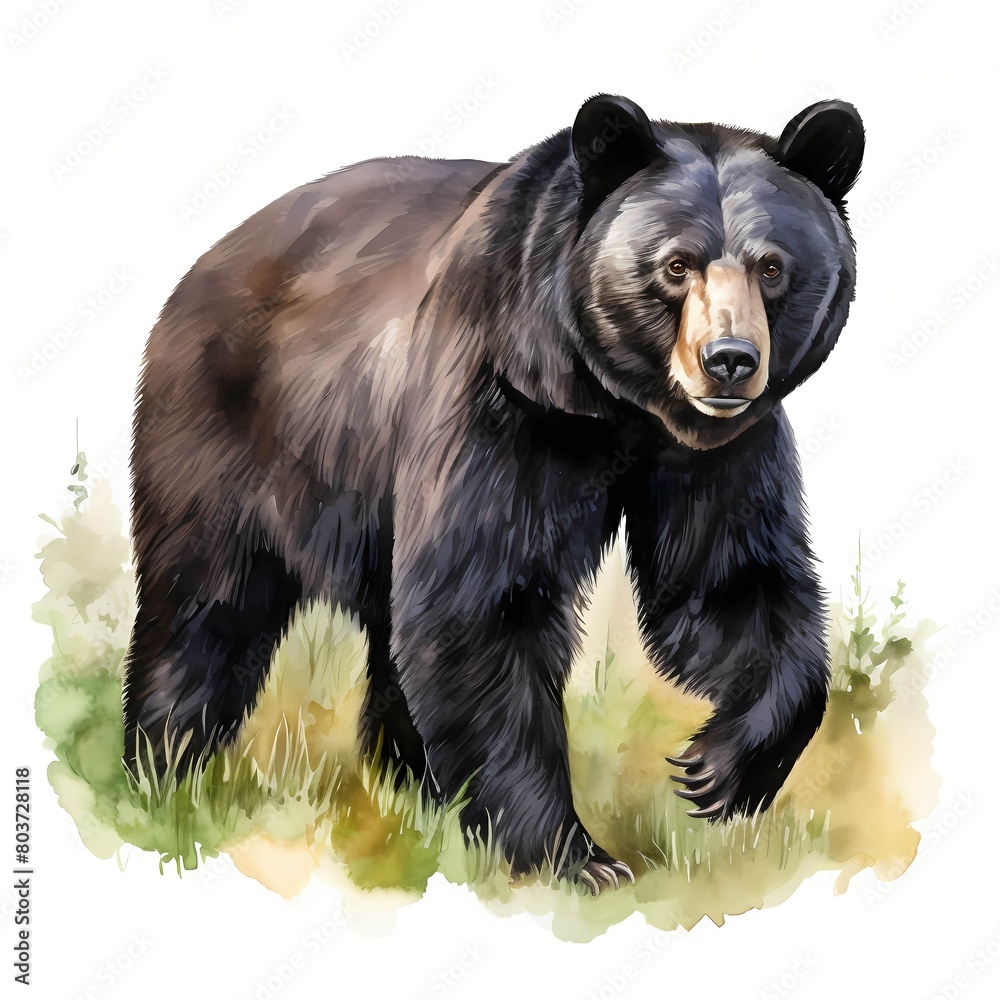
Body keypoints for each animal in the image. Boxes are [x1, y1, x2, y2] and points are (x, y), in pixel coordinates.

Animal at [122, 94, 864, 894]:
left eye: (772, 266)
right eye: (675, 263)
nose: (730, 360)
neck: (614, 404)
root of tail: (207, 261)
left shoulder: (714, 452)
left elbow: (725, 583)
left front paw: (719, 768)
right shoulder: (500, 395)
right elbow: (483, 606)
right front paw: (574, 857)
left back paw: (411, 790)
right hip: (230, 436)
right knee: (205, 608)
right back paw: (163, 775)